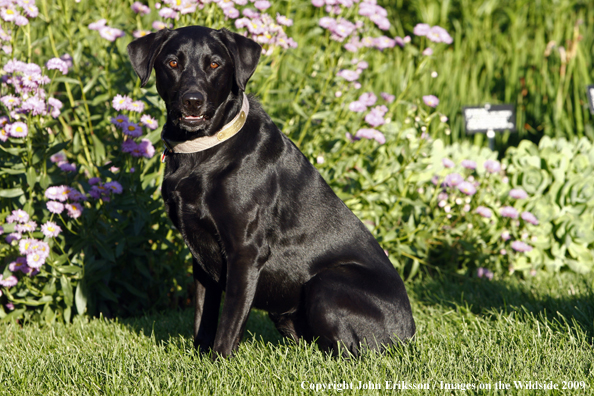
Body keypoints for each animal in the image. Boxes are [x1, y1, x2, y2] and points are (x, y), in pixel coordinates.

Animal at [126, 26, 412, 358]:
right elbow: (203, 317)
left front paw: (218, 362)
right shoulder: (200, 255)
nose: (192, 101)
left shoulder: (245, 252)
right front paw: (198, 359)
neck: (204, 151)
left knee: (353, 352)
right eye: (172, 63)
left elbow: (229, 322)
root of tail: (409, 335)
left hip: (326, 283)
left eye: (214, 64)